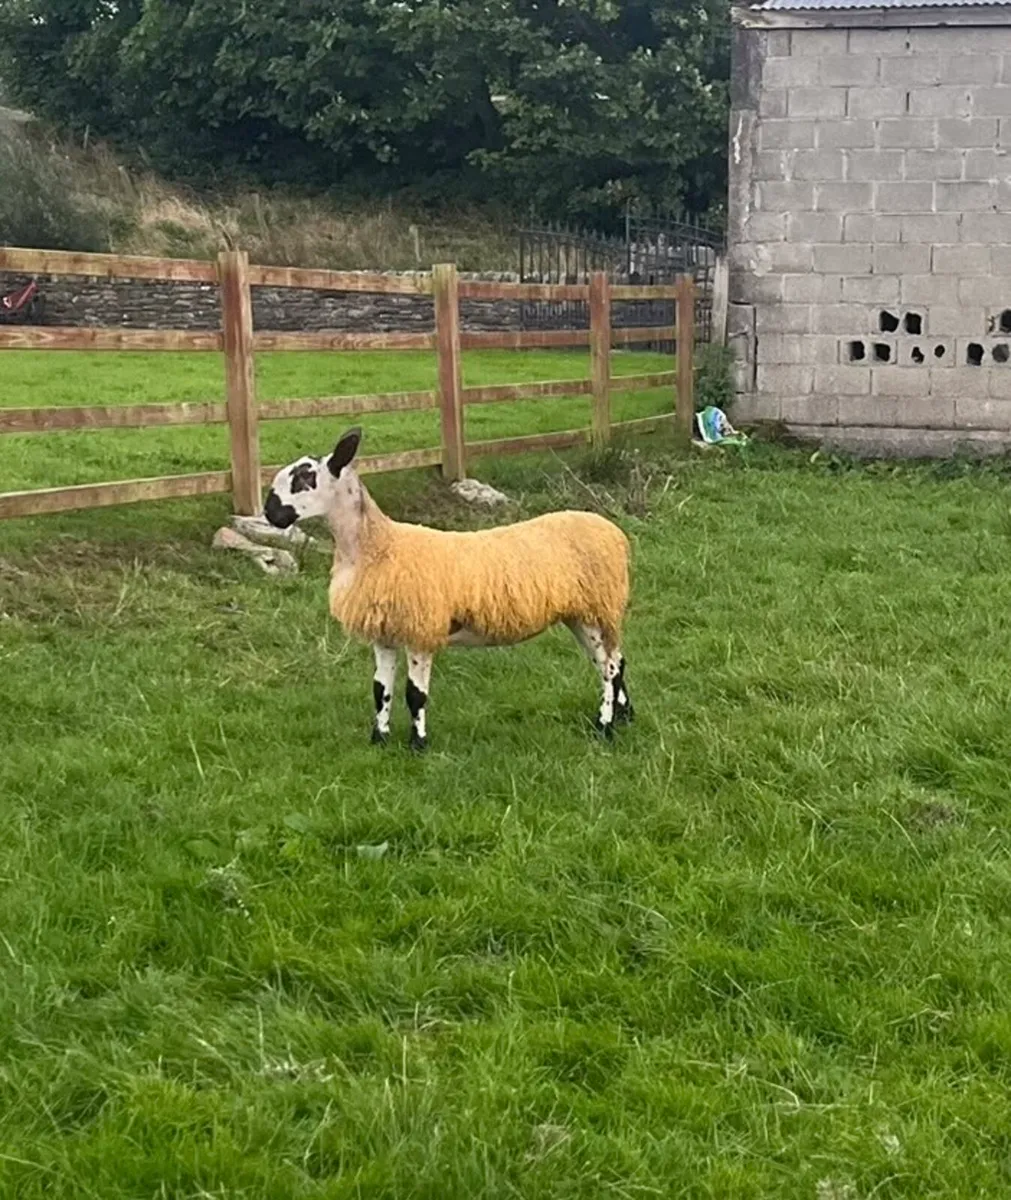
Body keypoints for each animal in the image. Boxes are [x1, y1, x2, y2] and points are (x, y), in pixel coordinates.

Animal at [263, 427, 633, 750]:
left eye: (304, 478)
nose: (269, 513)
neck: (377, 546)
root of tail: (612, 532)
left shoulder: (421, 631)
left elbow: (415, 695)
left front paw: (418, 745)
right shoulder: (384, 634)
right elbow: (380, 690)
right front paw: (379, 739)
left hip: (597, 608)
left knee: (609, 667)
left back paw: (604, 726)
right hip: (581, 614)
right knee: (612, 661)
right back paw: (625, 715)